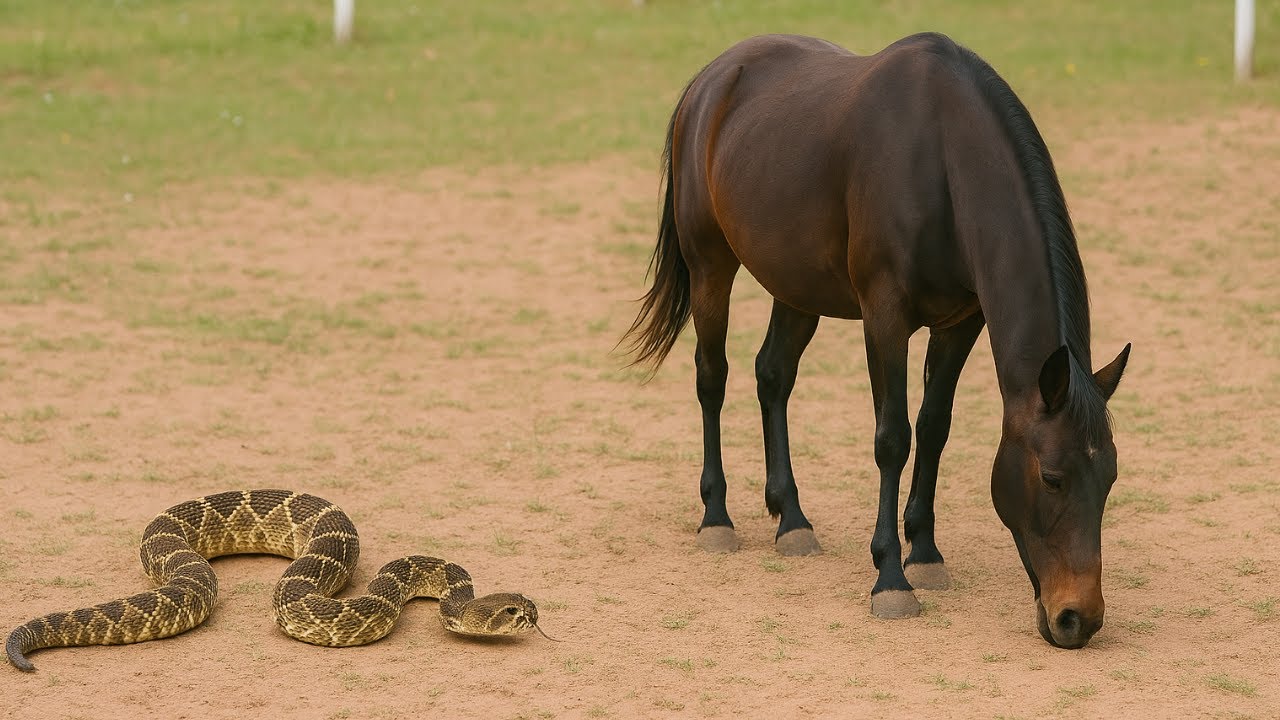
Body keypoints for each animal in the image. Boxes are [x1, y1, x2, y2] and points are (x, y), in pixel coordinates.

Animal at [621, 33, 1130, 649]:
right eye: (1053, 478)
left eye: (1109, 478)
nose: (1078, 618)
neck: (940, 159)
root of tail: (709, 81)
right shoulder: (884, 318)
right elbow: (894, 437)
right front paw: (890, 577)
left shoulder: (961, 322)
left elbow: (934, 428)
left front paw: (925, 552)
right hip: (710, 265)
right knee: (711, 378)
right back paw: (716, 517)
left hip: (797, 286)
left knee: (772, 375)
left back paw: (791, 518)